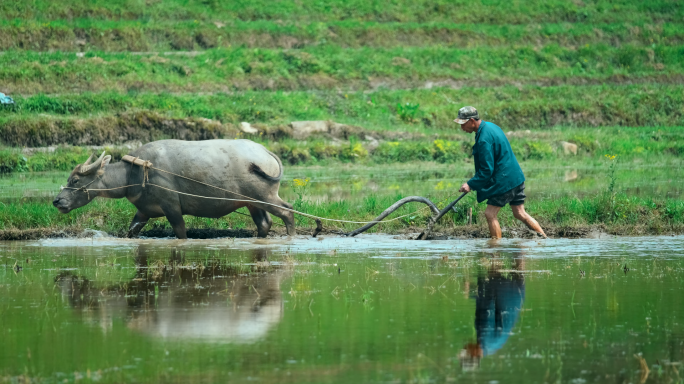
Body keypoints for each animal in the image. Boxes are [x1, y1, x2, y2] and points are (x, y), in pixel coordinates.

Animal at [52, 140, 294, 238]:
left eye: (75, 181)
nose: (57, 201)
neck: (136, 172)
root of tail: (265, 151)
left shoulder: (172, 207)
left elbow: (180, 231)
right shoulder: (144, 211)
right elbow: (132, 230)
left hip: (267, 196)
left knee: (287, 211)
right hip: (252, 202)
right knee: (265, 223)